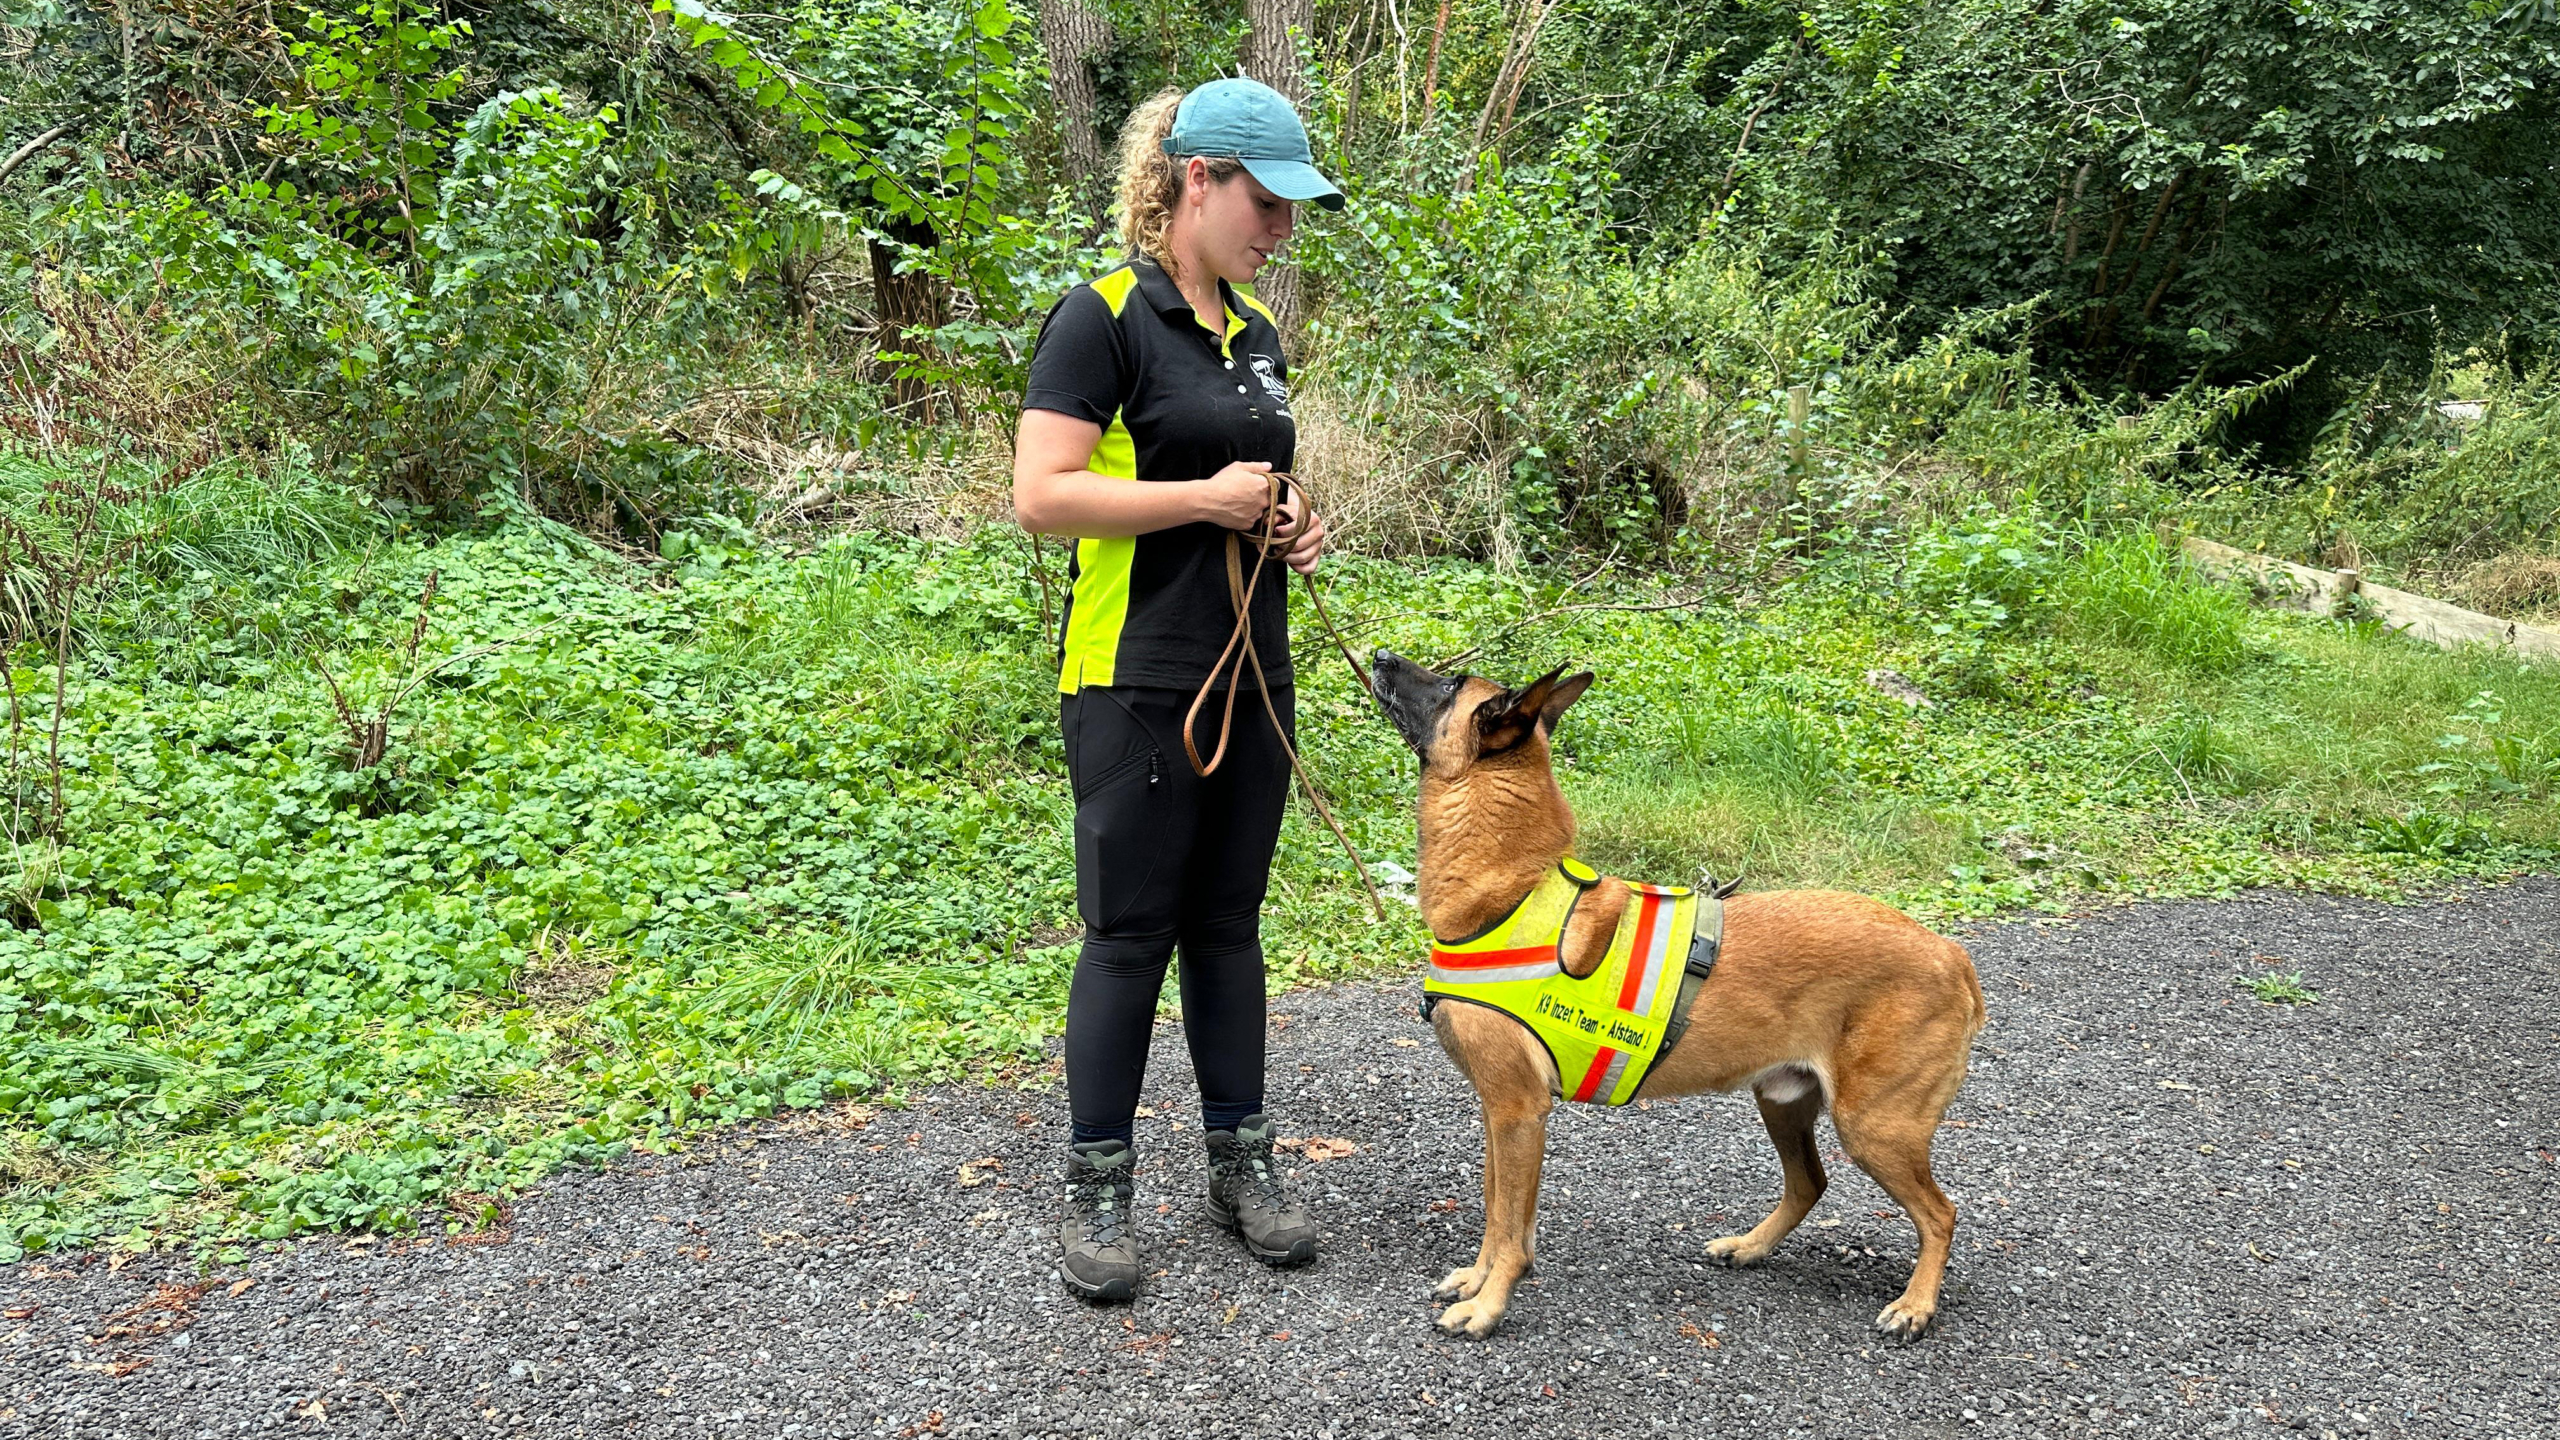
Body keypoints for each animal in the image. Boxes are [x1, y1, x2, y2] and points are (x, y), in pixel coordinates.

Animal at [1372, 650, 1986, 1332]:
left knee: (1941, 1213)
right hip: (1783, 1102)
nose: (1379, 657)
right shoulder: (1500, 1112)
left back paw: (1915, 1305)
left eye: (1450, 685)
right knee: (1811, 1183)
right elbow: (1501, 1212)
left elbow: (1507, 1224)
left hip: (1874, 1127)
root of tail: (1949, 952)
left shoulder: (1517, 1112)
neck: (1516, 896)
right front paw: (1482, 1280)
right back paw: (1750, 1246)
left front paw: (1489, 1304)